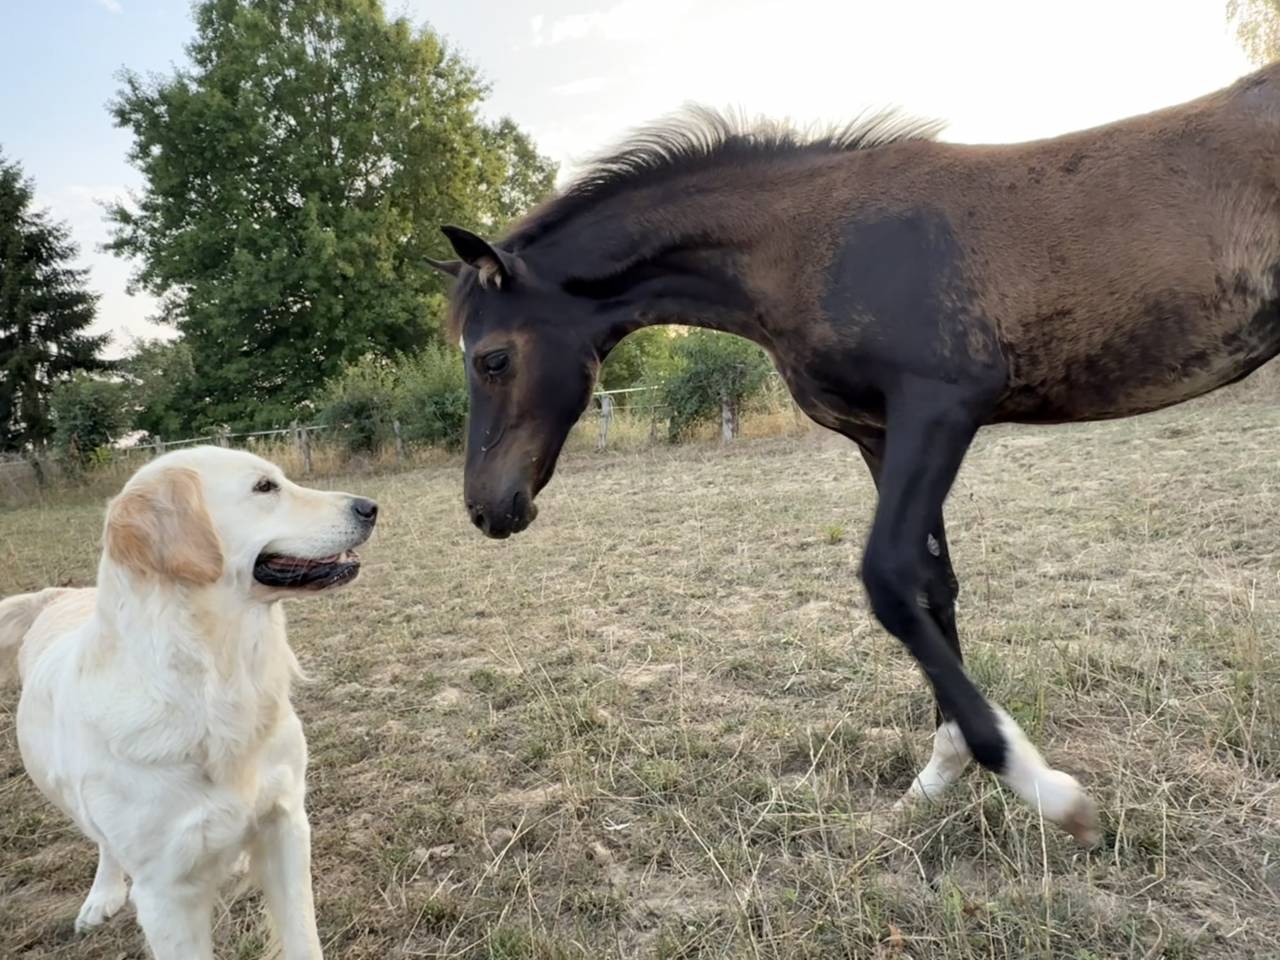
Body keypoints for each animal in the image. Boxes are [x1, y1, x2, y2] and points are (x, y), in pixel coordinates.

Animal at [427, 63, 1280, 845]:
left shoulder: (940, 406)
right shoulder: (880, 435)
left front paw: (1045, 788)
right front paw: (940, 773)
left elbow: (889, 581)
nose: (486, 507)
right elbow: (933, 586)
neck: (807, 240)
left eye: (493, 358)